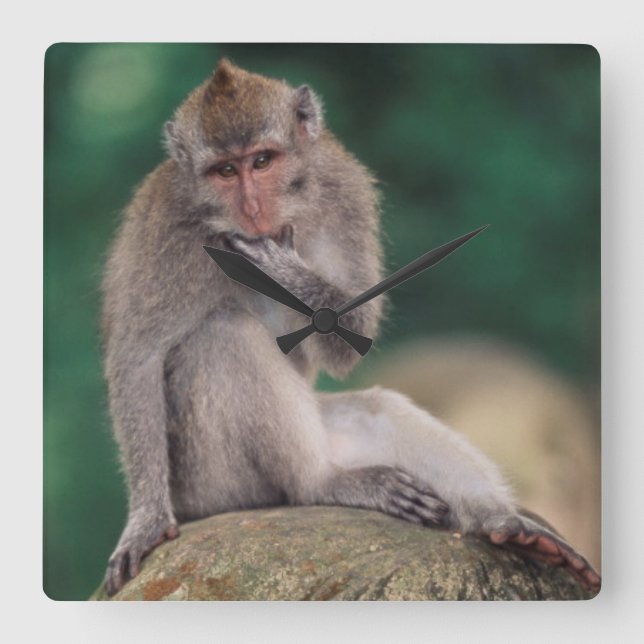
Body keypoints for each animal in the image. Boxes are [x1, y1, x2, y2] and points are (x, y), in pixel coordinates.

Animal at [101, 58, 600, 597]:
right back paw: (320, 483)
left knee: (378, 410)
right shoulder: (165, 231)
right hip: (212, 484)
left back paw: (504, 523)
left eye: (262, 161)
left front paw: (281, 266)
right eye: (225, 171)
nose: (252, 209)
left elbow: (348, 338)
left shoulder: (345, 191)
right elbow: (137, 359)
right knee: (224, 335)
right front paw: (147, 519)